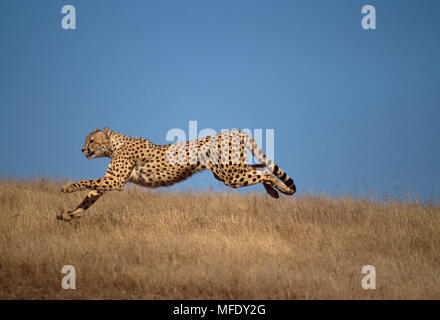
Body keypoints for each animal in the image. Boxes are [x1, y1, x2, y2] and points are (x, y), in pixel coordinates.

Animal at [55, 127, 296, 220]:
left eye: (91, 141)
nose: (82, 149)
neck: (115, 145)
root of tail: (232, 130)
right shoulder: (109, 181)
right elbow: (90, 196)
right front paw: (70, 214)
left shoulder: (115, 181)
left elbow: (86, 182)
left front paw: (66, 187)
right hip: (229, 171)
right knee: (261, 168)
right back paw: (275, 192)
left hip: (230, 176)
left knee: (265, 173)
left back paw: (282, 189)